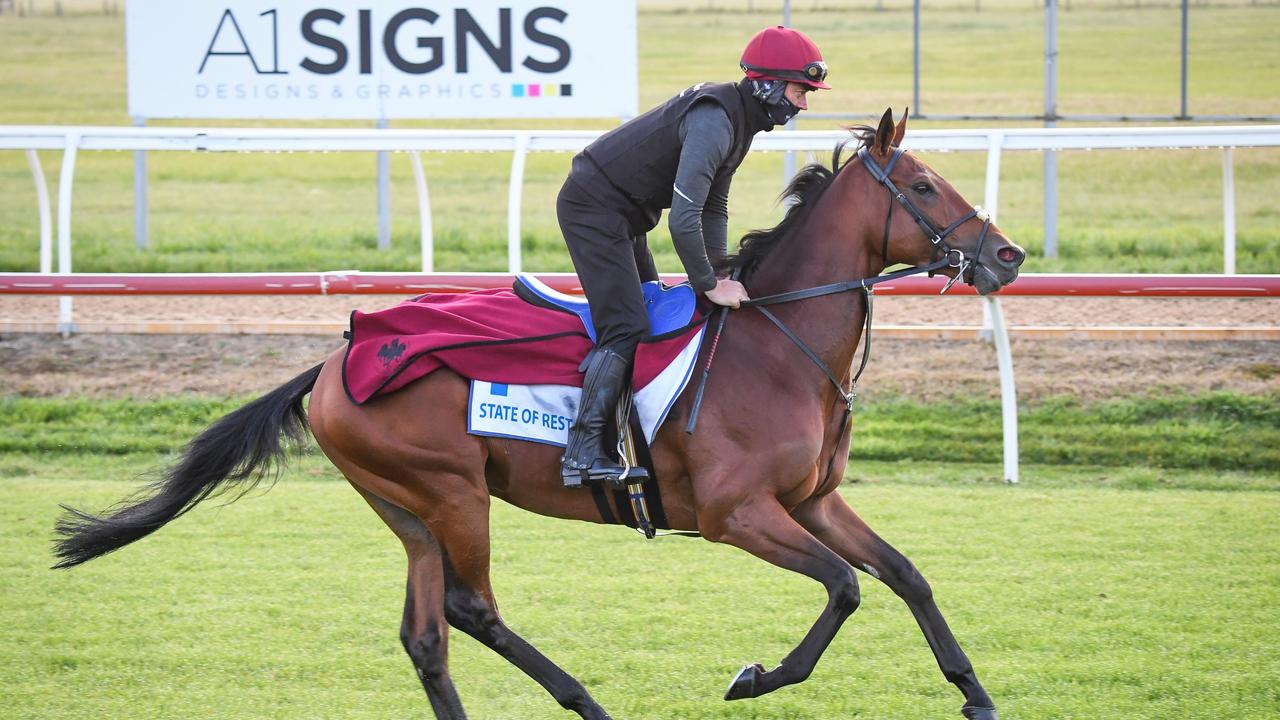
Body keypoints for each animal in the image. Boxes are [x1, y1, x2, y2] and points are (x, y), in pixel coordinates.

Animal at [52, 107, 1029, 717]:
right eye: (926, 186)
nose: (1008, 256)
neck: (776, 341)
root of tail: (336, 358)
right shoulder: (735, 514)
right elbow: (844, 586)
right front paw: (754, 677)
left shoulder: (813, 501)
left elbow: (904, 575)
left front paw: (975, 692)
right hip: (452, 492)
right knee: (471, 609)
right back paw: (585, 701)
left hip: (406, 508)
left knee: (426, 632)